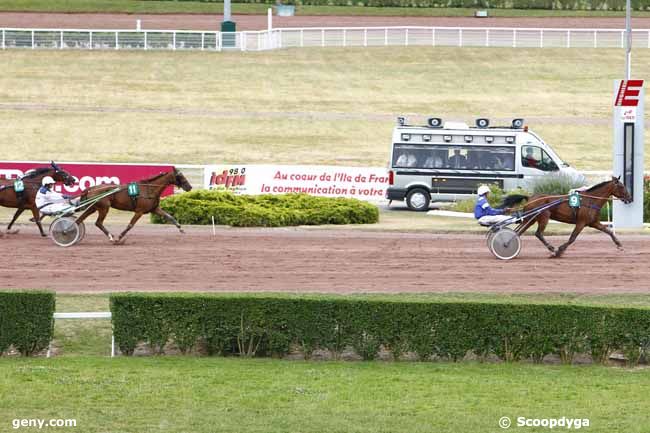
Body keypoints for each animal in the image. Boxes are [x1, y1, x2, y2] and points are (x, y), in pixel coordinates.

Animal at [498, 176, 632, 256]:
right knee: (538, 233)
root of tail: (530, 197)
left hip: (531, 219)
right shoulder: (581, 222)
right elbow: (572, 238)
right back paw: (551, 249)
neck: (590, 200)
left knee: (519, 232)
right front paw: (560, 250)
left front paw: (619, 245)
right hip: (543, 217)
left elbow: (609, 231)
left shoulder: (593, 222)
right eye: (621, 186)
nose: (630, 198)